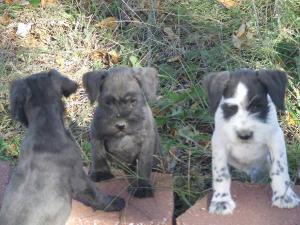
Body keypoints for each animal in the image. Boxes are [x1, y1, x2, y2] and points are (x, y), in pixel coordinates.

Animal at [82, 66, 164, 198]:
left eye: (133, 101)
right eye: (108, 103)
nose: (120, 125)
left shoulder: (146, 142)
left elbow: (143, 164)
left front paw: (142, 186)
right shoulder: (96, 135)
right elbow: (98, 155)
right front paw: (100, 173)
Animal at [204, 68, 300, 214]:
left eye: (257, 106)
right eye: (231, 108)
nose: (244, 135)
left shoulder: (275, 138)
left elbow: (279, 168)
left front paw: (284, 196)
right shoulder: (219, 143)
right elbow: (221, 173)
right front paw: (221, 201)